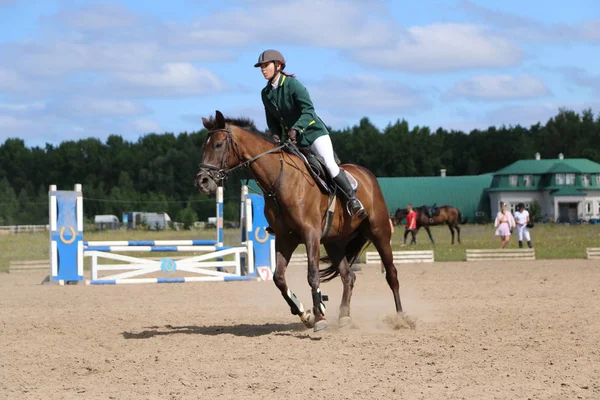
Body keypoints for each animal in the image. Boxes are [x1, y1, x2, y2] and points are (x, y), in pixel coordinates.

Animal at [196, 110, 404, 332]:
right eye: (203, 146)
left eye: (218, 144)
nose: (201, 182)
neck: (280, 181)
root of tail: (367, 174)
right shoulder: (285, 238)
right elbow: (278, 278)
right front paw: (305, 313)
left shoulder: (310, 234)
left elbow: (312, 275)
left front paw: (319, 316)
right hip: (335, 243)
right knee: (348, 276)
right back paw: (344, 317)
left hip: (379, 232)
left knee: (391, 274)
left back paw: (401, 317)